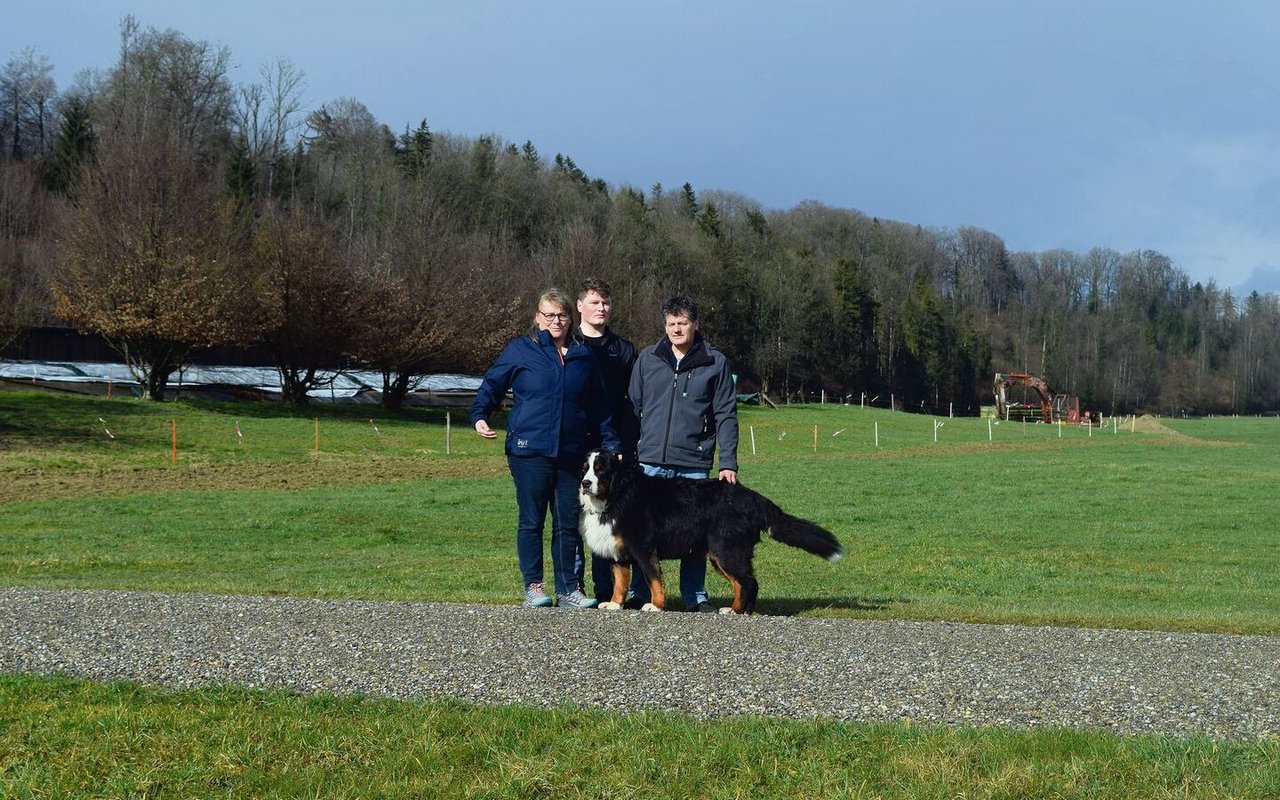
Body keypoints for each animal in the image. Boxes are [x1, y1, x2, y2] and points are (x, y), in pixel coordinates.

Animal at [578, 453, 839, 614]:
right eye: (585, 469)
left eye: (601, 471)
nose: (584, 483)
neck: (617, 497)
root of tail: (753, 497)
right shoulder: (617, 553)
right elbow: (620, 583)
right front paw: (614, 604)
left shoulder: (644, 549)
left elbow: (654, 580)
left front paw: (656, 605)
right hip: (721, 554)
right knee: (744, 583)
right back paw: (742, 611)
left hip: (726, 550)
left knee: (748, 581)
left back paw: (735, 611)